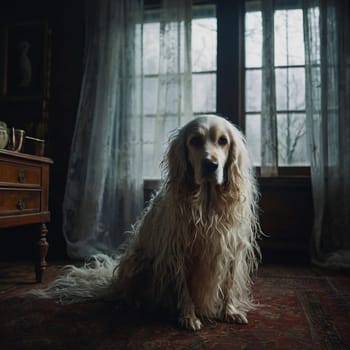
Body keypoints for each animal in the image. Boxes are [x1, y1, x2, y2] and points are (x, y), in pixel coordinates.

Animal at [31, 115, 262, 330]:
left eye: (223, 141)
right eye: (195, 140)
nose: (211, 164)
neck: (206, 205)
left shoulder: (232, 248)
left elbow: (229, 284)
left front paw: (229, 311)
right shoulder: (176, 251)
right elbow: (183, 288)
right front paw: (188, 315)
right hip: (139, 263)